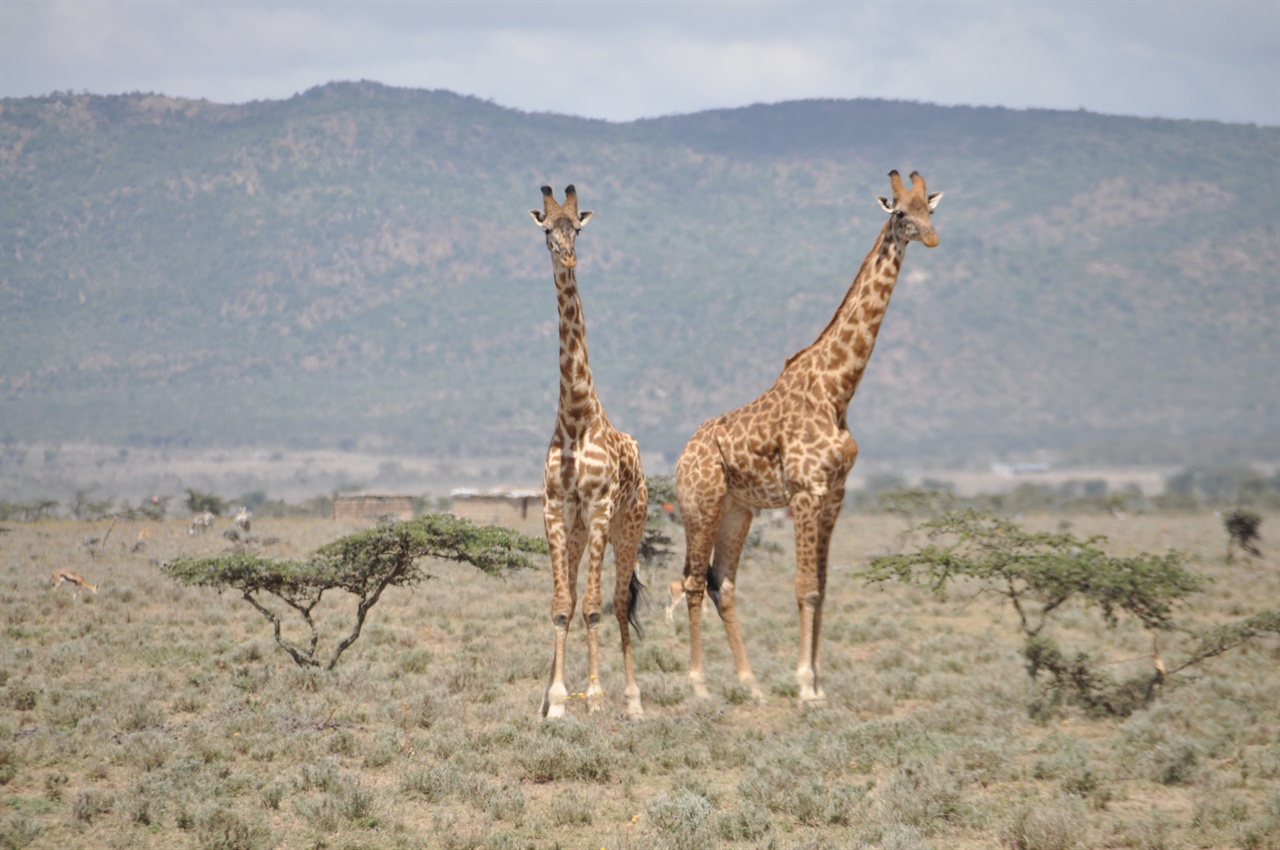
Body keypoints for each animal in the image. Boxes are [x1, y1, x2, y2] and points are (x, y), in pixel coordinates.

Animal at [670, 171, 942, 701]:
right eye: (901, 212)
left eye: (931, 209)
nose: (932, 238)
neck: (837, 390)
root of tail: (682, 455)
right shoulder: (805, 490)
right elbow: (804, 587)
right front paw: (804, 686)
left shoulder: (835, 493)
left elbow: (824, 585)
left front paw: (817, 682)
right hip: (700, 504)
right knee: (691, 581)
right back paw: (699, 685)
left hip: (738, 510)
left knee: (722, 583)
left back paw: (750, 683)